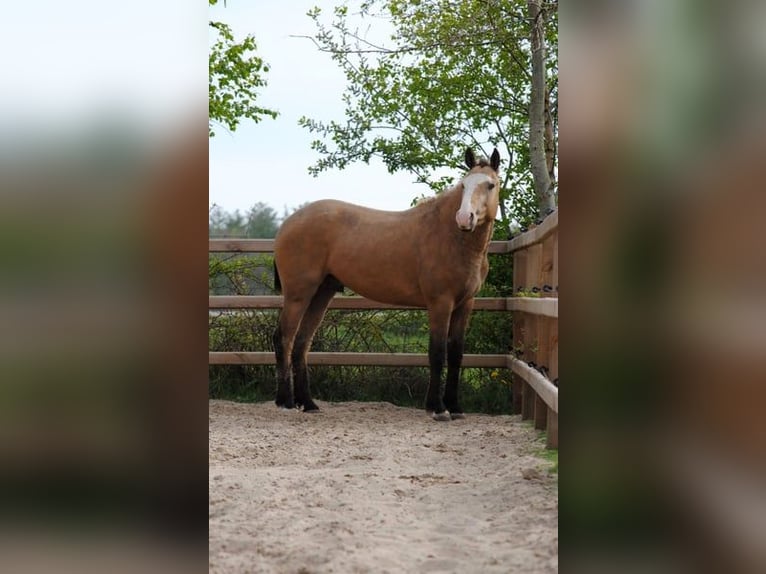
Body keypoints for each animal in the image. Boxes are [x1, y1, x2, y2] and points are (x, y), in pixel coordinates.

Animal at [272, 147, 501, 420]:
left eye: (490, 184)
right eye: (464, 185)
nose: (465, 218)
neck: (451, 237)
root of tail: (288, 223)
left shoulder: (465, 304)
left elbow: (456, 354)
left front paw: (454, 407)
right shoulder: (440, 303)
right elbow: (437, 353)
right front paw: (437, 408)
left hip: (321, 294)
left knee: (301, 343)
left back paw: (307, 403)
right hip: (298, 295)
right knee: (284, 338)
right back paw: (285, 401)